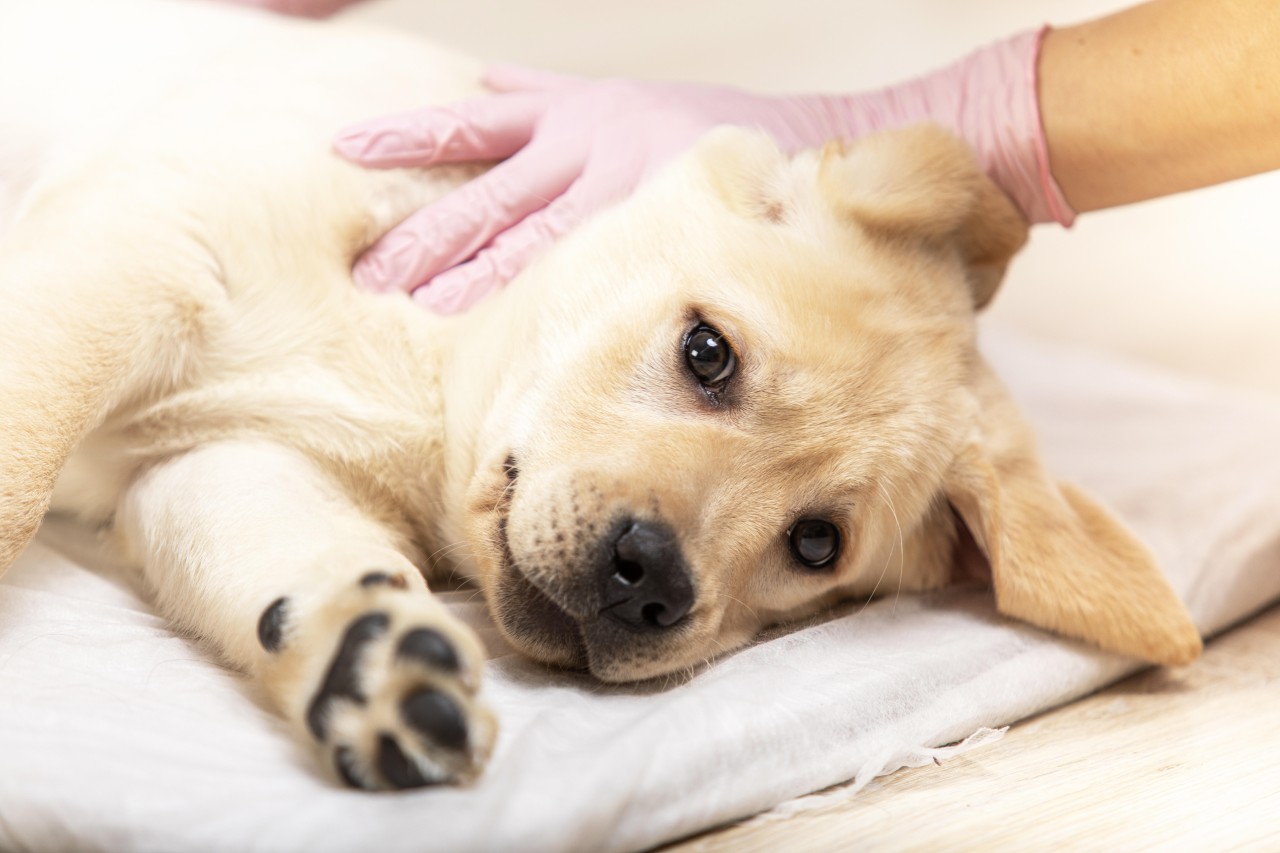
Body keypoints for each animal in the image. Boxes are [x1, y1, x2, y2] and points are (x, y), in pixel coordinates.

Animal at [2, 0, 1198, 788]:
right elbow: (21, 467)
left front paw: (371, 661)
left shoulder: (213, 464)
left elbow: (297, 566)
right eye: (708, 354)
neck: (424, 383)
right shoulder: (131, 252)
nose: (648, 582)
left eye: (815, 543)